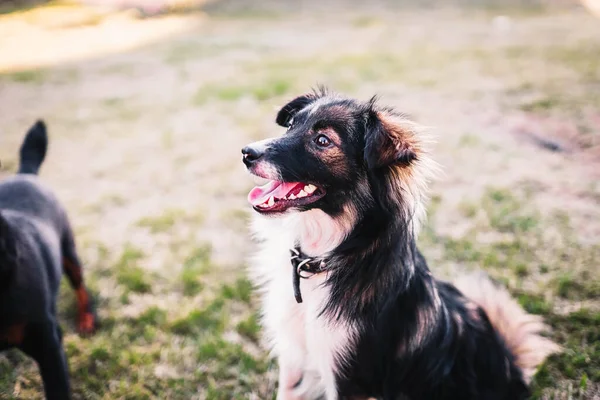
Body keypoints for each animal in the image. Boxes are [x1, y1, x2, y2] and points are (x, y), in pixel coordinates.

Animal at [241, 90, 560, 400]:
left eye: (322, 140)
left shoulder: (351, 380)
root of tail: (511, 368)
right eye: (292, 125)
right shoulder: (294, 360)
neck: (326, 256)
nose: (246, 152)